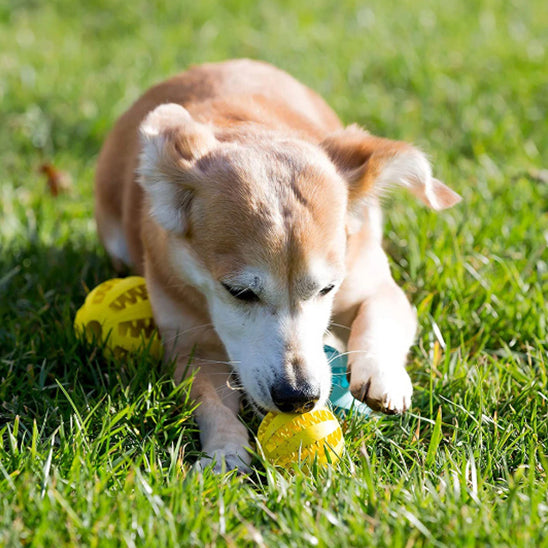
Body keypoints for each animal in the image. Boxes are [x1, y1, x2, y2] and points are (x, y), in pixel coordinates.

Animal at [93, 58, 458, 470]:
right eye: (238, 292)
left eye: (328, 288)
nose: (299, 397)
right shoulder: (190, 347)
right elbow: (211, 401)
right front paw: (224, 451)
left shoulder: (374, 284)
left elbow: (380, 315)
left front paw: (382, 376)